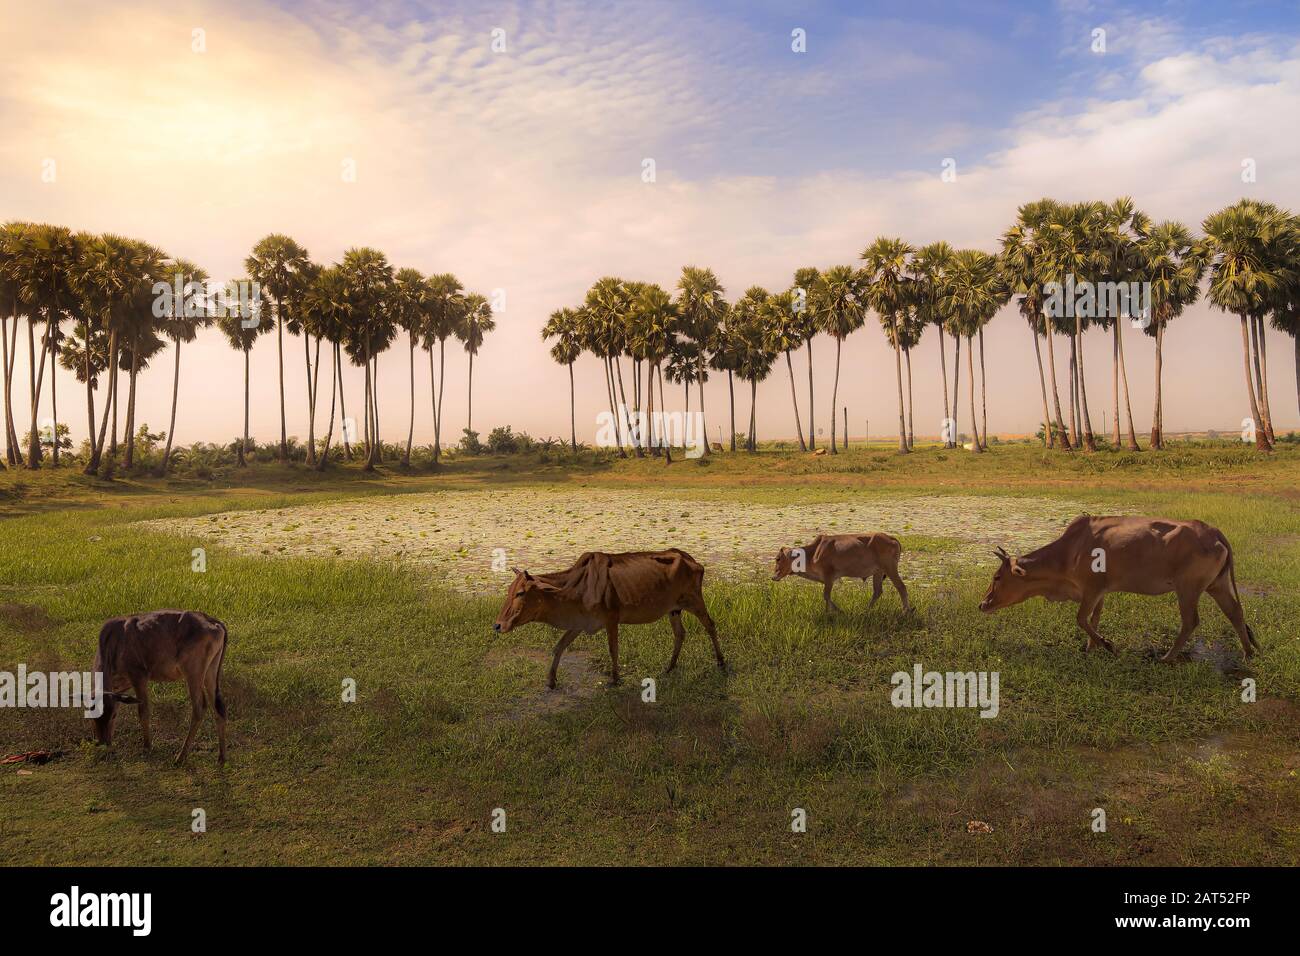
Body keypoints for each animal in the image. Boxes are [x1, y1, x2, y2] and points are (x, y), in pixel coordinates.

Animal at [91, 613, 231, 764]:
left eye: (112, 716)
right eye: (93, 716)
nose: (104, 744)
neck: (114, 641)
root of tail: (213, 621)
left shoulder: (139, 676)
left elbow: (143, 711)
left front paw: (147, 747)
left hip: (194, 673)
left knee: (199, 708)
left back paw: (180, 757)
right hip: (211, 672)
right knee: (219, 708)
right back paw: (221, 757)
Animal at [491, 548, 728, 691]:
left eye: (521, 593)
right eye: (509, 590)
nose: (498, 625)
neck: (576, 587)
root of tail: (692, 559)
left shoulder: (611, 618)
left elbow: (613, 649)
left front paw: (614, 679)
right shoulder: (579, 624)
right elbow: (559, 647)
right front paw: (551, 681)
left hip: (695, 601)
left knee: (710, 625)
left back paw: (721, 662)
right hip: (674, 610)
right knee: (680, 633)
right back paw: (669, 667)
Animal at [774, 535, 909, 616]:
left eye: (778, 558)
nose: (773, 576)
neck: (812, 554)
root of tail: (891, 538)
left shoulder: (829, 577)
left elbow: (826, 596)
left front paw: (838, 611)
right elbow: (826, 597)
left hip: (890, 568)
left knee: (901, 587)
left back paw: (905, 612)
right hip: (878, 572)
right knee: (877, 591)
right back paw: (866, 610)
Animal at [977, 515, 1253, 665]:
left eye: (997, 576)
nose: (983, 604)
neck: (1068, 553)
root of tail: (1213, 532)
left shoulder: (1091, 589)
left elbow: (1081, 619)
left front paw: (1108, 646)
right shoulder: (1099, 593)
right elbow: (1093, 620)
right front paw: (1091, 648)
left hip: (1188, 589)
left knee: (1190, 621)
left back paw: (1166, 658)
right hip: (1217, 585)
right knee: (1235, 613)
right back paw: (1248, 653)